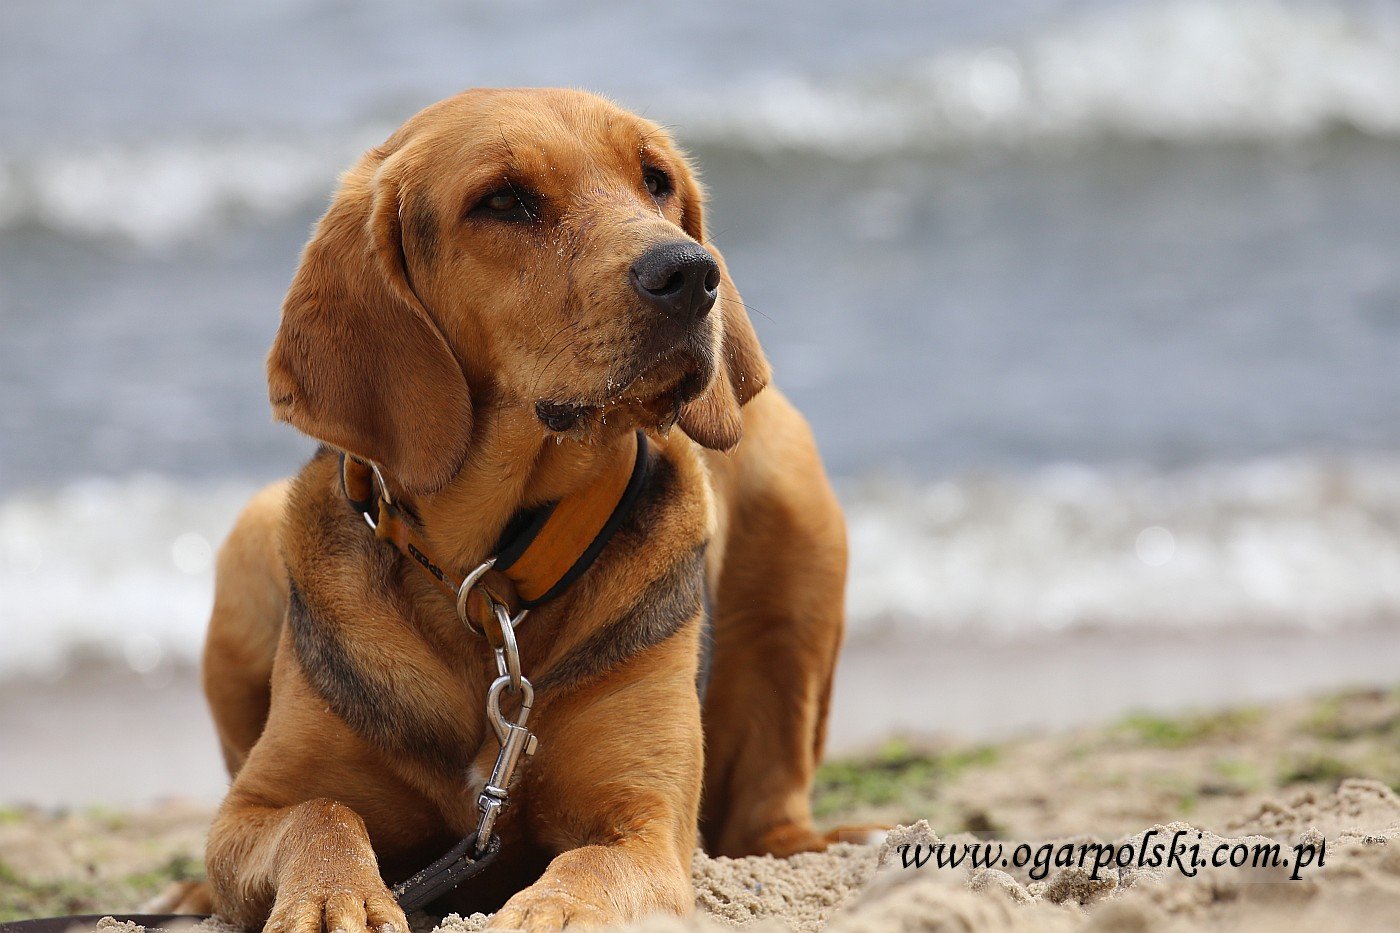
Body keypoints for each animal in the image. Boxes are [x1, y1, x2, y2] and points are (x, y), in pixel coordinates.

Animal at [186, 85, 840, 924]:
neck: (489, 578)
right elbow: (320, 813)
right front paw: (337, 897)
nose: (694, 273)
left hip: (800, 534)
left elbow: (591, 866)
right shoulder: (254, 806)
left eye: (656, 180)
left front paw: (548, 910)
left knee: (771, 809)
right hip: (248, 541)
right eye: (503, 201)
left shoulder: (647, 823)